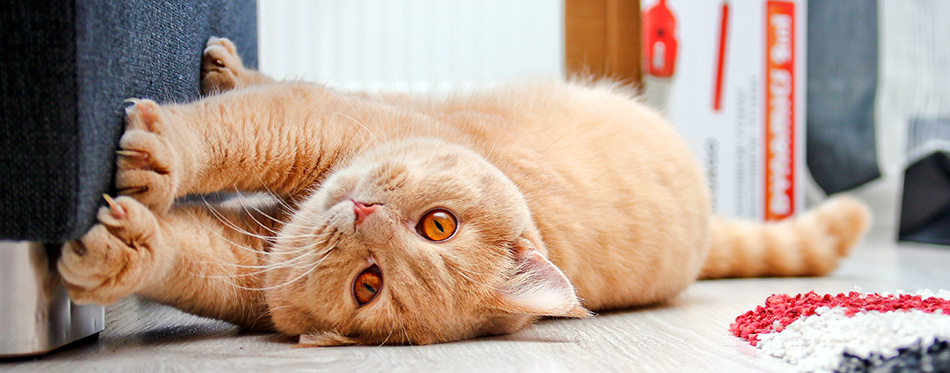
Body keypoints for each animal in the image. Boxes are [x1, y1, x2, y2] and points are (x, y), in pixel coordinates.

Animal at [54, 37, 872, 346]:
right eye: (440, 224)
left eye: (369, 284)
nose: (364, 211)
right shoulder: (315, 123)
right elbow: (240, 126)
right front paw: (168, 154)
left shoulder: (245, 265)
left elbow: (183, 249)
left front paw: (114, 246)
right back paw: (229, 66)